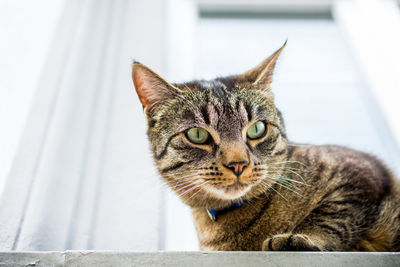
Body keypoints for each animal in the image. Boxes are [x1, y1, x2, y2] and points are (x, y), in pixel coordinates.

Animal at [131, 42, 400, 251]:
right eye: (197, 134)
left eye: (257, 129)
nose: (238, 164)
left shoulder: (362, 172)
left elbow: (331, 215)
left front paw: (302, 238)